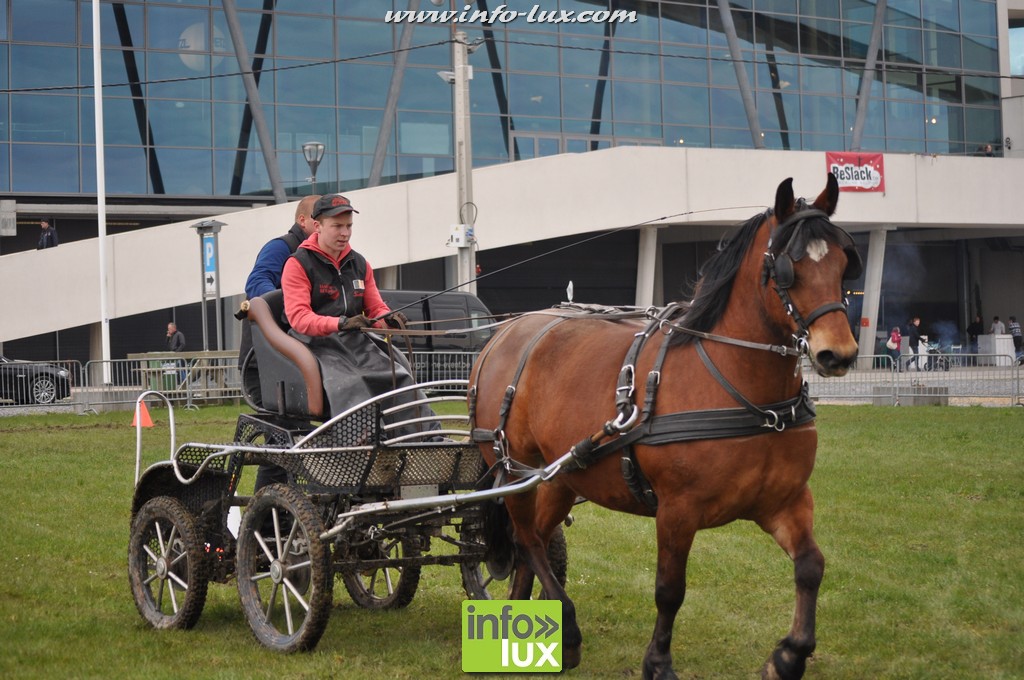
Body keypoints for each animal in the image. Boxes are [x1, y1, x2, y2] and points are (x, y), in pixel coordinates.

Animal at [467, 174, 861, 679]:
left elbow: (811, 566)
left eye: (844, 263)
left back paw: (520, 617)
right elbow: (670, 590)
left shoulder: (785, 500)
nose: (839, 354)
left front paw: (789, 655)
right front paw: (658, 662)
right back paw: (567, 629)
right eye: (786, 269)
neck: (747, 393)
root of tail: (502, 333)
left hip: (559, 477)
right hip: (514, 467)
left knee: (527, 540)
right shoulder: (678, 509)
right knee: (530, 540)